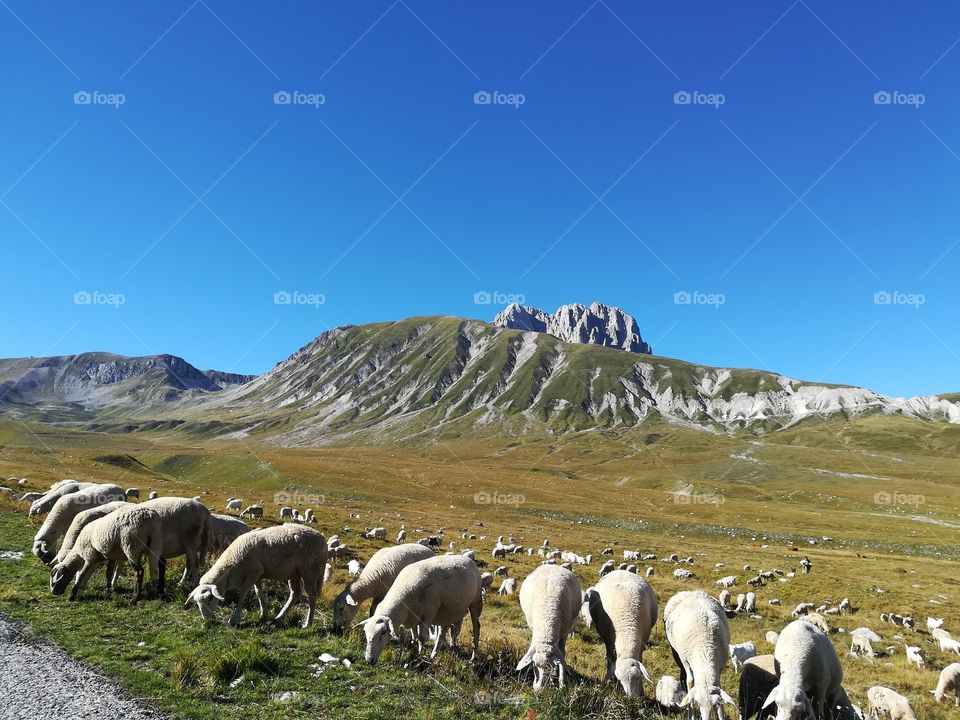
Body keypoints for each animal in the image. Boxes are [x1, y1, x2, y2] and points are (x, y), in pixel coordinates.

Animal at [186, 520, 328, 628]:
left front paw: (234, 619)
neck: (234, 561)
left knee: (312, 596)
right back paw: (279, 618)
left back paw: (308, 623)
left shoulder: (252, 575)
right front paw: (263, 615)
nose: (207, 620)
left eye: (210, 598)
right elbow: (259, 593)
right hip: (294, 573)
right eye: (197, 602)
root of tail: (322, 539)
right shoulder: (257, 575)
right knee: (295, 593)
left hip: (311, 571)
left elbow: (242, 595)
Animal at [584, 568, 660, 696]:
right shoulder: (609, 640)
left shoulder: (642, 641)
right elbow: (610, 658)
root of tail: (621, 570)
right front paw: (612, 683)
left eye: (638, 677)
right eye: (620, 680)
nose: (631, 698)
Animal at [660, 592, 736, 720]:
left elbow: (719, 687)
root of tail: (691, 591)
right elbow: (690, 682)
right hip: (675, 652)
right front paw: (691, 714)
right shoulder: (686, 661)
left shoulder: (720, 666)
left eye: (714, 705)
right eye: (698, 704)